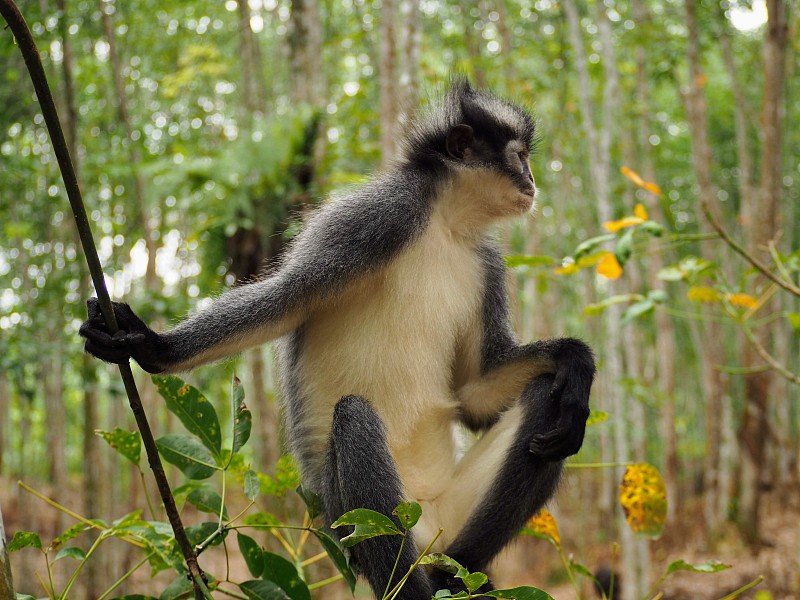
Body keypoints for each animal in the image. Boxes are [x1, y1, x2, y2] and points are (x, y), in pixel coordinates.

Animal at [81, 81, 592, 600]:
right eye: (519, 156)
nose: (532, 181)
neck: (445, 226)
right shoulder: (379, 216)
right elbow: (289, 299)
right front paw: (152, 347)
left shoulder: (486, 264)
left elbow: (476, 394)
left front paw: (576, 361)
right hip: (352, 523)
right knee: (353, 417)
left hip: (449, 523)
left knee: (548, 398)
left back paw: (457, 574)